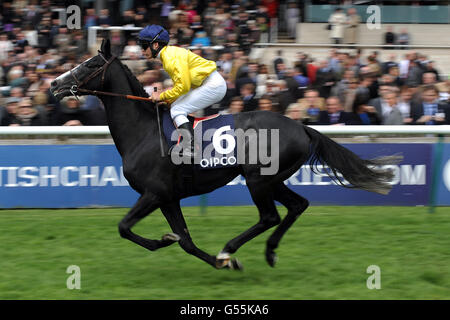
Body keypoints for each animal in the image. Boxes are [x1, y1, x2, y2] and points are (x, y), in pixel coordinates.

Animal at [50, 39, 400, 270]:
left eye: (91, 64)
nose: (54, 83)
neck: (144, 132)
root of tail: (301, 127)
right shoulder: (169, 197)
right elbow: (186, 240)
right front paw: (205, 256)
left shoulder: (154, 193)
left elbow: (124, 227)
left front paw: (177, 245)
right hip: (273, 179)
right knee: (297, 205)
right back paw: (268, 252)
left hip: (259, 180)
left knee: (270, 216)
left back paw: (228, 249)